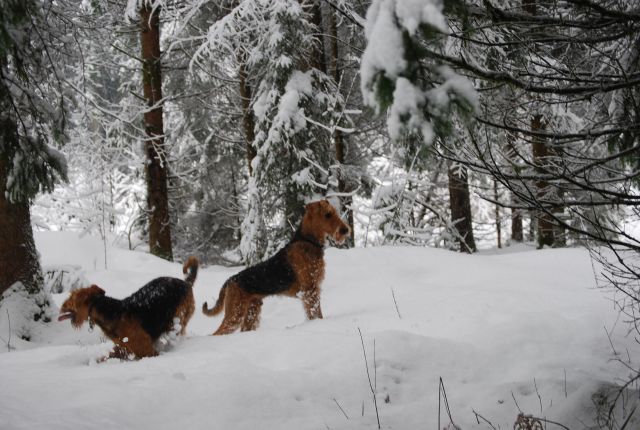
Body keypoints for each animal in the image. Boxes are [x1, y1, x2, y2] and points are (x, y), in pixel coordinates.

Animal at [60, 256, 200, 362]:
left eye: (72, 297)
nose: (61, 307)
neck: (113, 313)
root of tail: (186, 283)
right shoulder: (123, 348)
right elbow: (105, 357)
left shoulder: (147, 350)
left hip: (178, 320)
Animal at [202, 200, 350, 334]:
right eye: (327, 215)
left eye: (335, 213)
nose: (346, 230)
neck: (307, 241)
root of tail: (229, 280)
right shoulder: (310, 290)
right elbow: (315, 313)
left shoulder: (312, 289)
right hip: (235, 313)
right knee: (217, 333)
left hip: (252, 311)